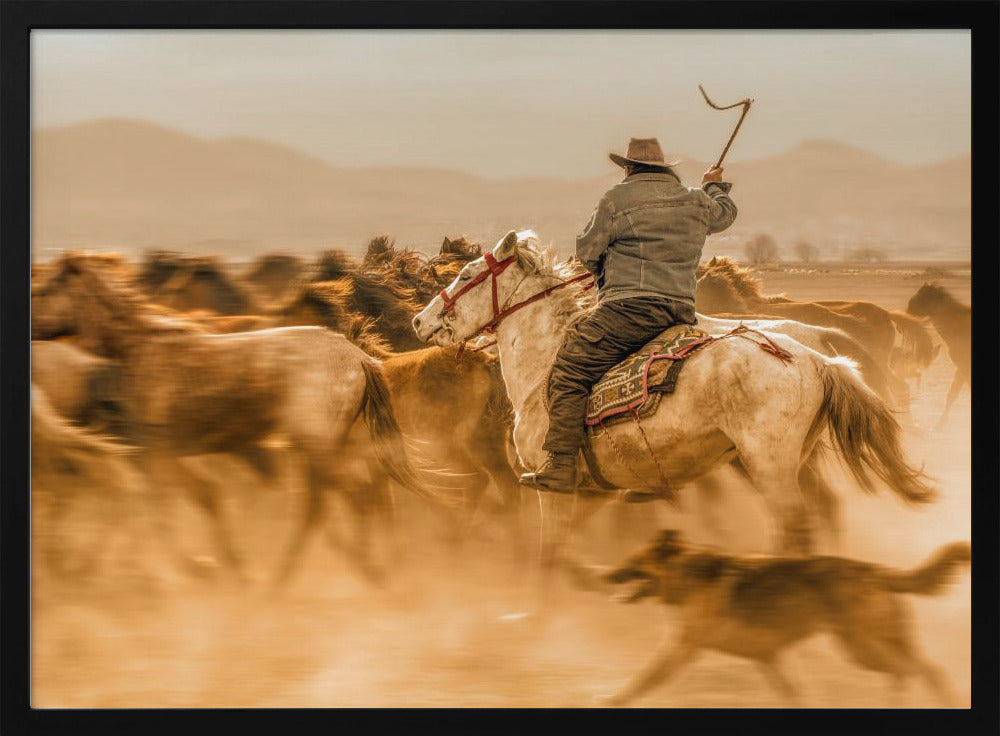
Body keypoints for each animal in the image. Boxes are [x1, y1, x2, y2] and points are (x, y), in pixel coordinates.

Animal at [31, 252, 451, 587]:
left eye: (46, 289)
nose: (33, 332)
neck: (140, 351)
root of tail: (358, 356)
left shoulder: (158, 455)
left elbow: (156, 510)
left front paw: (204, 569)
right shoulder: (163, 456)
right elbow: (198, 499)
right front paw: (221, 566)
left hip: (317, 448)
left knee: (341, 501)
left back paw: (323, 576)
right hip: (327, 448)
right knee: (350, 500)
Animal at [413, 231, 936, 593]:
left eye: (465, 275)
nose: (420, 320)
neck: (546, 361)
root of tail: (819, 358)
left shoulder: (551, 484)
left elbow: (548, 552)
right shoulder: (592, 491)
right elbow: (562, 553)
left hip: (769, 467)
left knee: (792, 528)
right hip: (790, 462)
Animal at [907, 283, 971, 431]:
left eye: (922, 297)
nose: (908, 308)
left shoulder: (964, 366)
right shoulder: (960, 367)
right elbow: (951, 394)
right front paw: (939, 425)